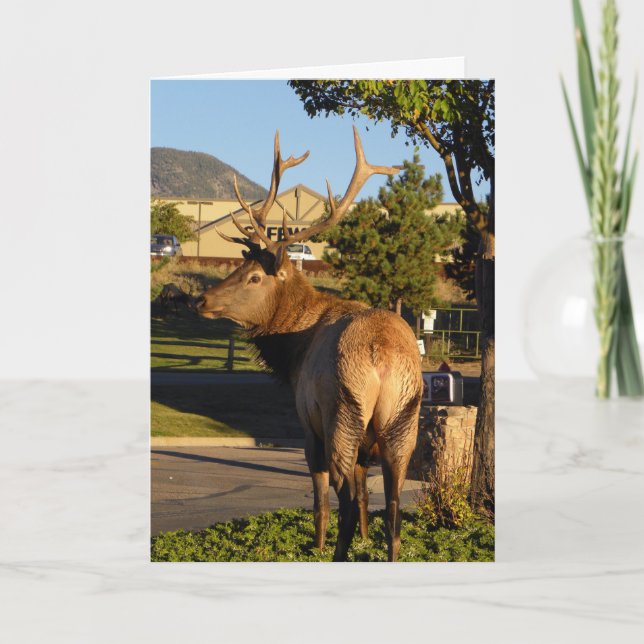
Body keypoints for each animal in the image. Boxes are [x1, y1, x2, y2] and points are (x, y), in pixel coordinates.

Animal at [195, 127, 422, 561]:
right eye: (240, 265)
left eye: (255, 277)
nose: (201, 300)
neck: (292, 354)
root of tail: (382, 357)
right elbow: (367, 498)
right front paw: (362, 541)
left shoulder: (307, 424)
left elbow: (320, 501)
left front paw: (315, 545)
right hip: (403, 422)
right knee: (394, 508)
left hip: (342, 414)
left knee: (343, 499)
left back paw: (333, 556)